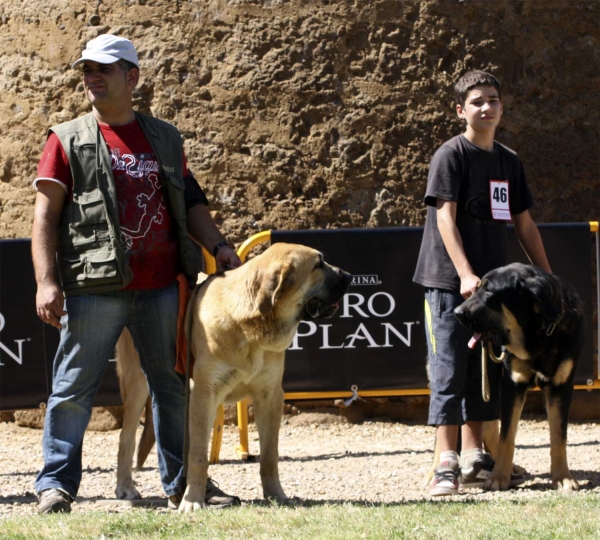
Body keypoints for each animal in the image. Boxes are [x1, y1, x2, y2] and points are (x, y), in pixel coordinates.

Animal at [454, 264, 580, 492]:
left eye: (488, 291)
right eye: (477, 288)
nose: (456, 313)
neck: (537, 336)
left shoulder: (561, 388)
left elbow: (559, 437)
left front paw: (562, 477)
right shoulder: (512, 385)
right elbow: (507, 437)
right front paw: (498, 478)